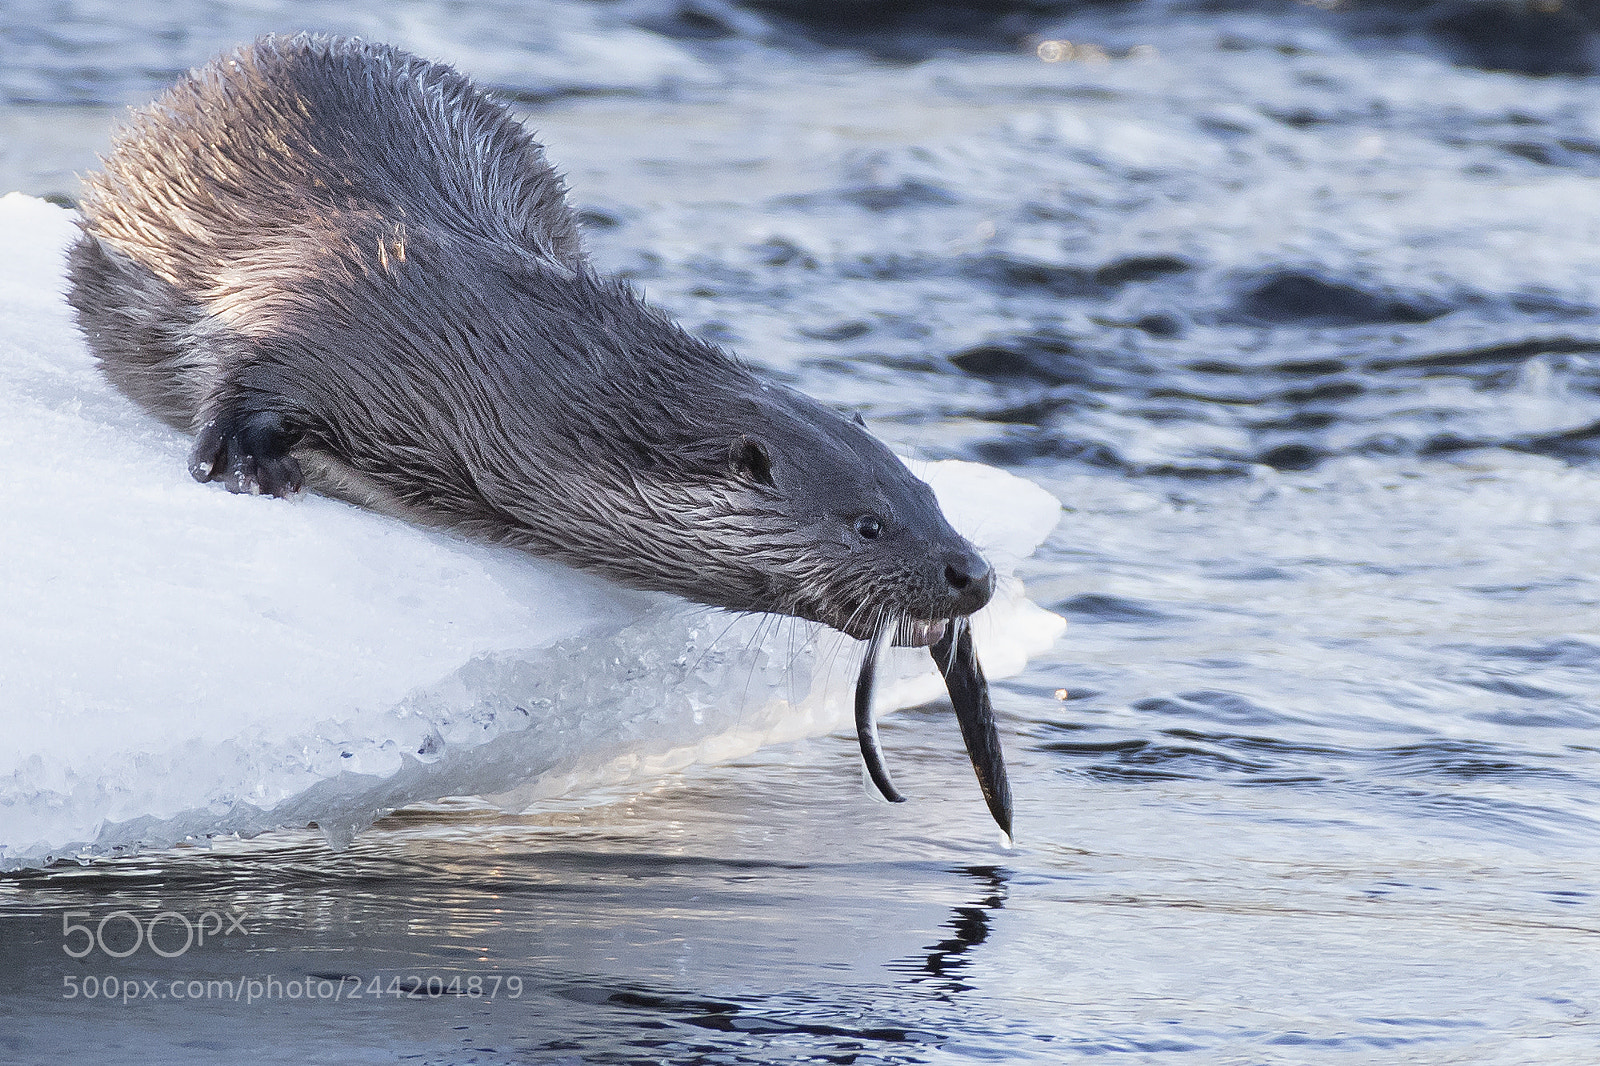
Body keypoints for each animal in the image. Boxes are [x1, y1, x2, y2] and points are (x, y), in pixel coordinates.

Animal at [66, 33, 1013, 835]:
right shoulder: (315, 299)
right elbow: (241, 375)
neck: (477, 348)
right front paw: (247, 462)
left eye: (929, 495)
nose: (973, 572)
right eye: (868, 524)